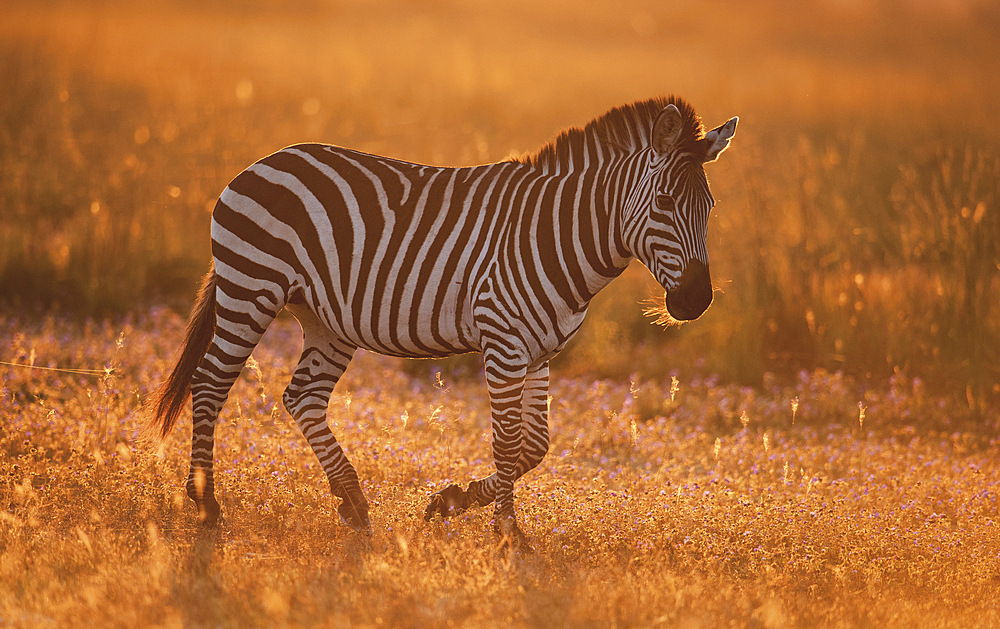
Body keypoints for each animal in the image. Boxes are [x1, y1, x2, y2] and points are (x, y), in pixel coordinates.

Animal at [145, 94, 740, 544]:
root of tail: (264, 160)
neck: (560, 235)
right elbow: (508, 442)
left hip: (324, 319)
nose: (695, 303)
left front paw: (452, 501)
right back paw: (207, 504)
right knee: (210, 383)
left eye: (710, 208)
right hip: (252, 288)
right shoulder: (503, 342)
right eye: (664, 204)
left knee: (302, 397)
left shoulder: (540, 352)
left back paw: (353, 502)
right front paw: (508, 535)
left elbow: (535, 446)